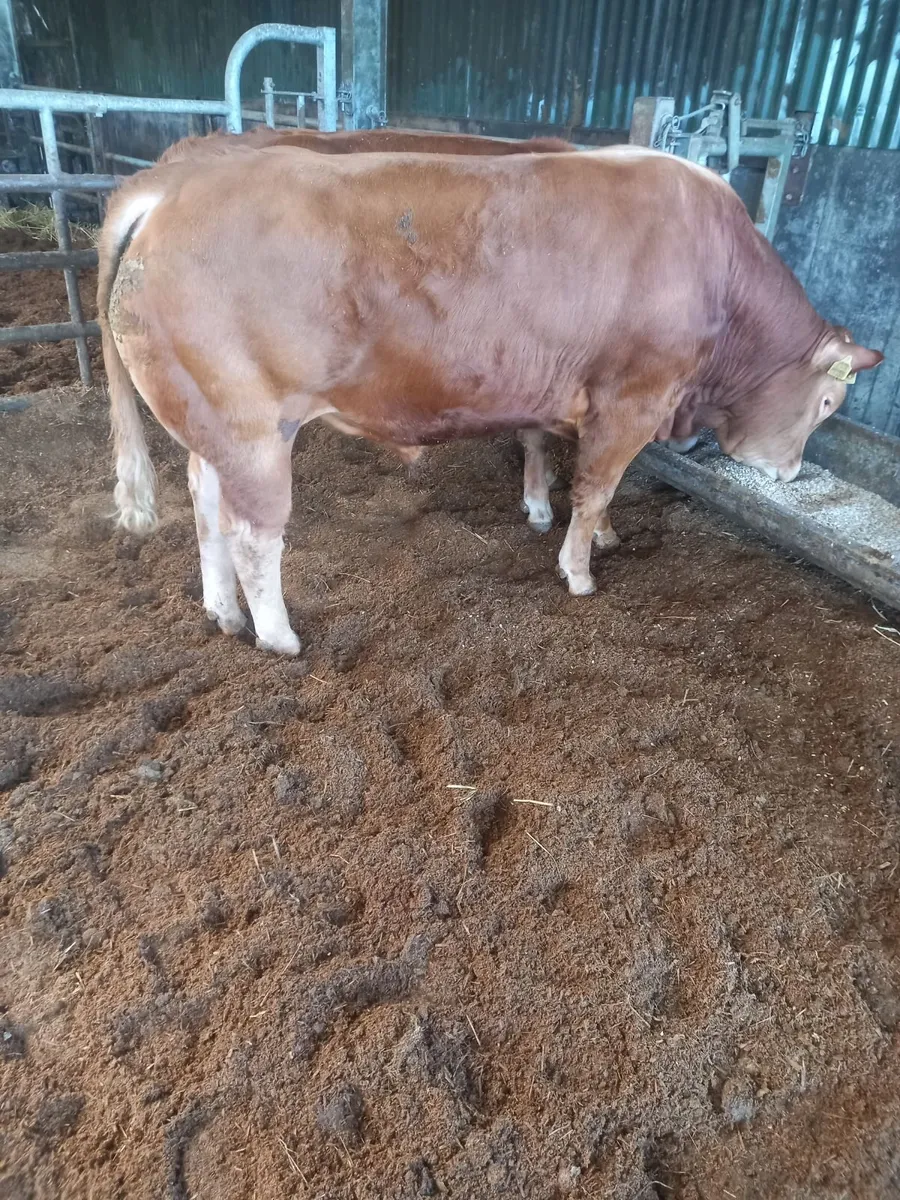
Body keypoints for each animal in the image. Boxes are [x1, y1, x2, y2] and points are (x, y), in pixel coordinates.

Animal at [98, 144, 883, 655]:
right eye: (828, 405)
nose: (789, 473)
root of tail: (175, 187)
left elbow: (564, 463)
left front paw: (574, 527)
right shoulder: (632, 397)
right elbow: (596, 486)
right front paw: (579, 571)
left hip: (210, 425)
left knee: (204, 504)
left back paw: (224, 614)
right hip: (252, 428)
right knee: (254, 534)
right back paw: (278, 636)